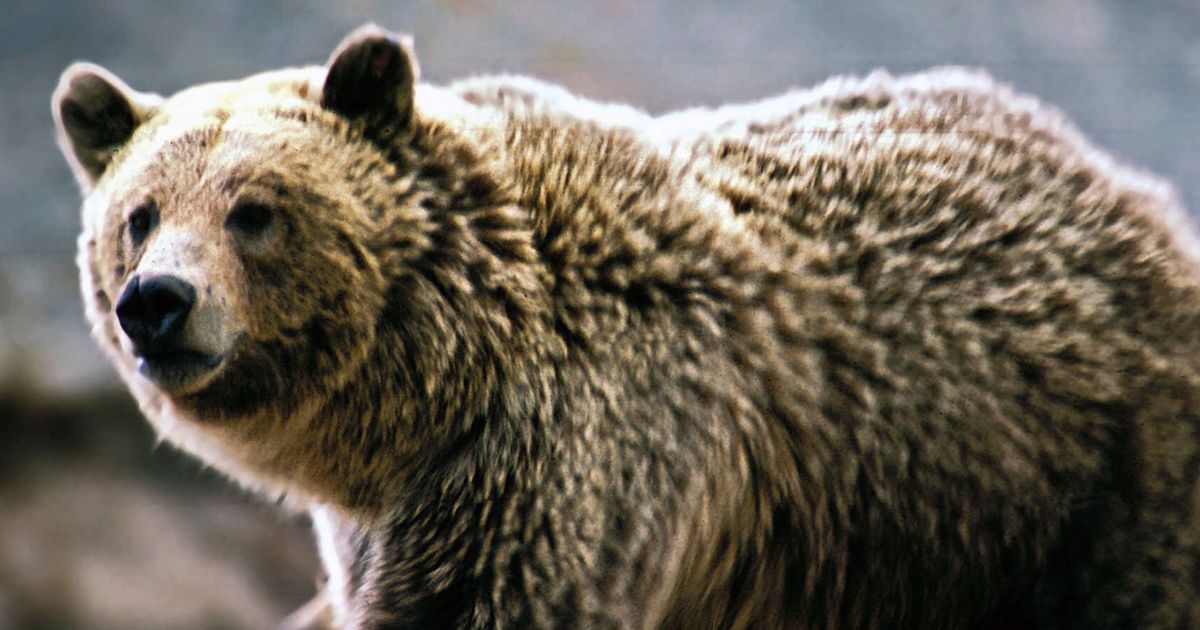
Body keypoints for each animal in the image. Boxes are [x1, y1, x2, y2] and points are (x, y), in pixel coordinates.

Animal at [51, 22, 1200, 624]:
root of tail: (1129, 189)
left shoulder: (564, 454)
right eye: (140, 214)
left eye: (255, 210)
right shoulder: (392, 516)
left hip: (1078, 488)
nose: (157, 301)